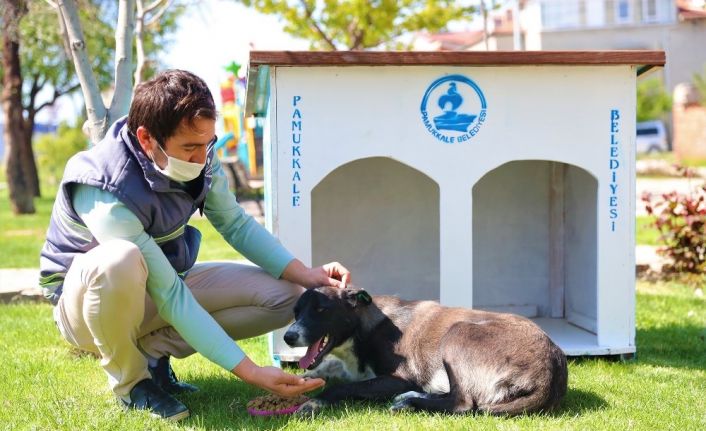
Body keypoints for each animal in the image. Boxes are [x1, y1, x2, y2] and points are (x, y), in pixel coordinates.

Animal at [284, 288, 568, 416]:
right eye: (296, 312)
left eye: (321, 309)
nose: (288, 337)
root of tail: (551, 370)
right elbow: (329, 371)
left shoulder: (400, 378)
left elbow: (344, 387)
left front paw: (316, 401)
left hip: (456, 333)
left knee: (462, 403)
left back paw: (410, 401)